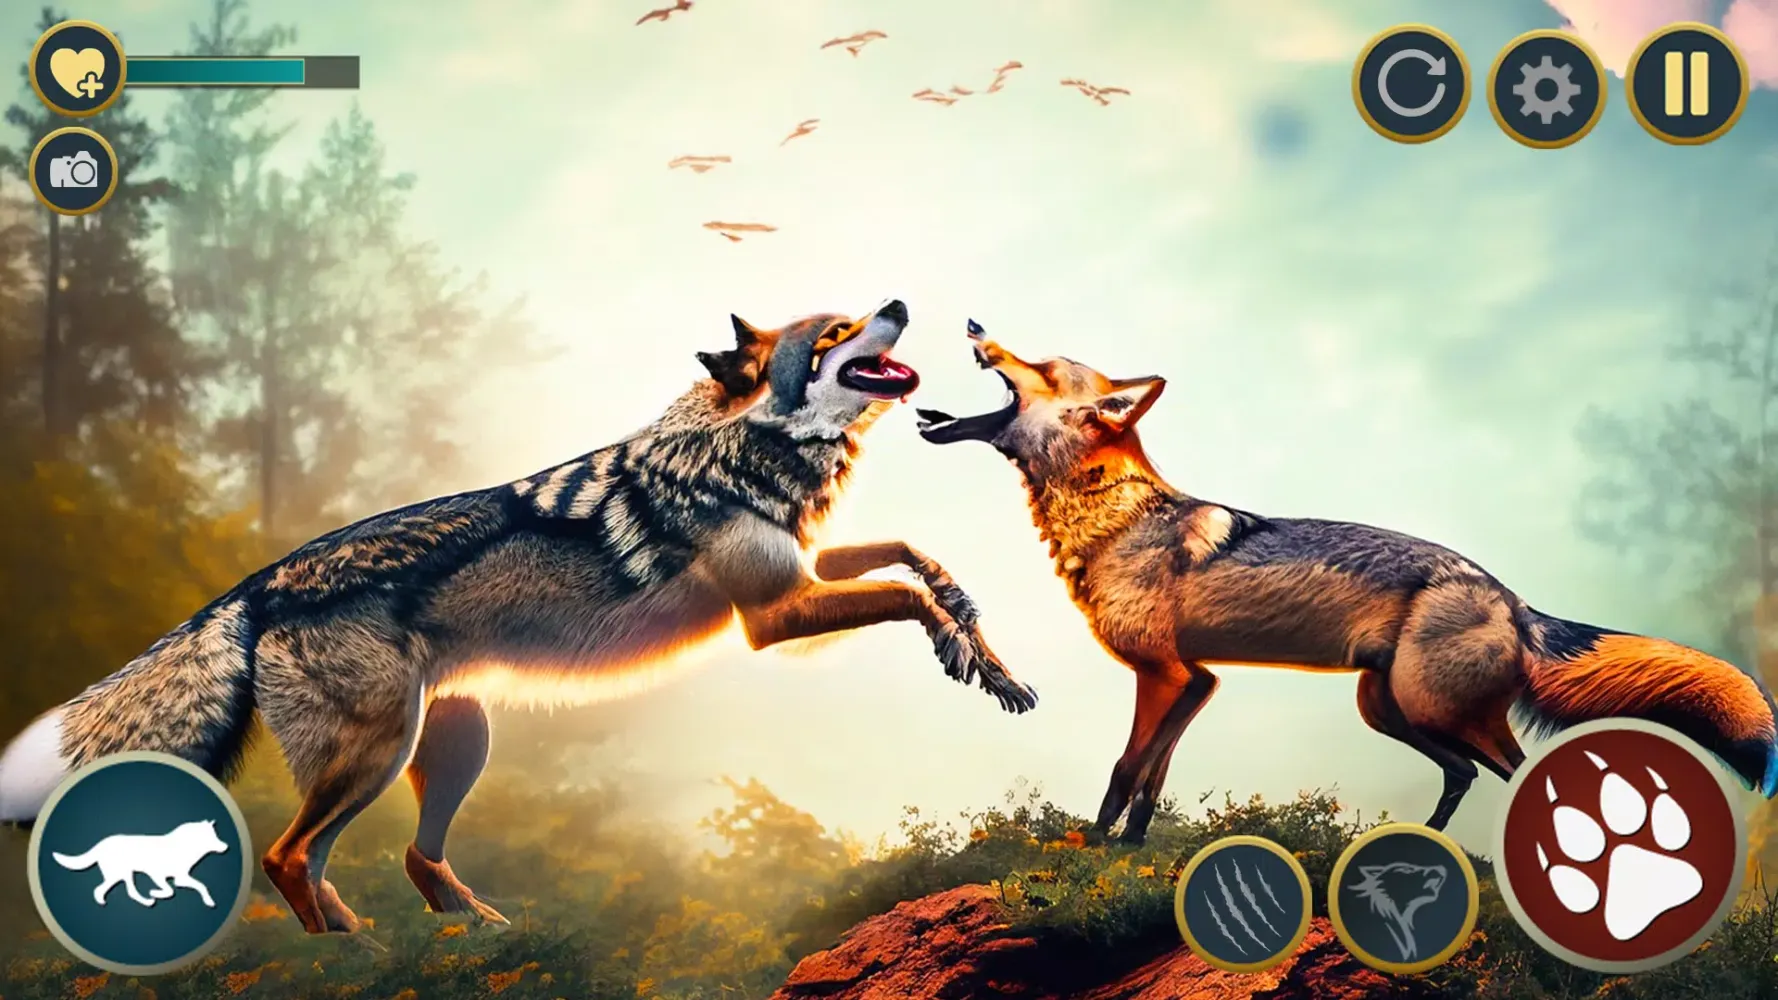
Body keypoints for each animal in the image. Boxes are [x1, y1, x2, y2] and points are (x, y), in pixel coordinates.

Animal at [0, 299, 1037, 935]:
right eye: (837, 331)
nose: (900, 297)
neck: (747, 451)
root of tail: (255, 583)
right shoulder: (769, 615)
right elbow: (903, 592)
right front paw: (962, 652)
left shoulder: (806, 568)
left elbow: (921, 563)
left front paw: (991, 659)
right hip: (379, 753)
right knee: (290, 858)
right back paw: (362, 952)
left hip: (453, 741)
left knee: (403, 862)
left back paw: (470, 934)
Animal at [915, 319, 1778, 846]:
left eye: (1039, 365)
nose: (974, 325)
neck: (1117, 519)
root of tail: (1511, 597)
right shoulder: (1196, 681)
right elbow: (1151, 782)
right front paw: (1124, 853)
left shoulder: (1166, 675)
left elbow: (1124, 772)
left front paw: (1088, 852)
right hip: (1386, 708)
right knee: (1465, 773)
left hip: (1429, 707)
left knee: (1514, 770)